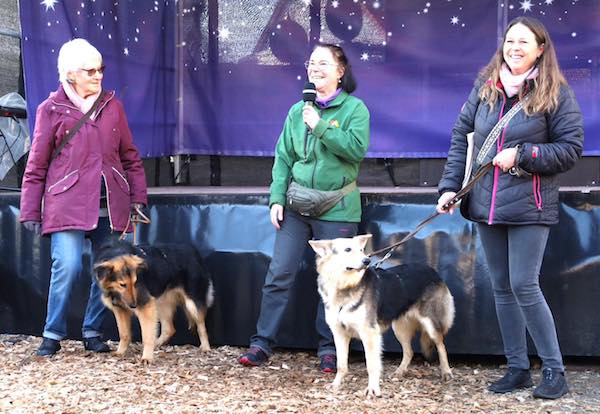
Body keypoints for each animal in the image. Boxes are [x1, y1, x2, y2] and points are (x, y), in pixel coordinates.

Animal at [310, 234, 454, 396]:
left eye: (361, 250)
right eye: (348, 249)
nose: (366, 261)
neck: (345, 286)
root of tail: (431, 270)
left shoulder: (370, 334)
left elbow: (371, 365)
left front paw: (373, 389)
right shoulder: (339, 334)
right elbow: (341, 364)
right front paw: (336, 384)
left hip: (430, 324)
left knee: (441, 345)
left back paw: (446, 372)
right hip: (400, 329)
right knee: (409, 351)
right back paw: (400, 371)